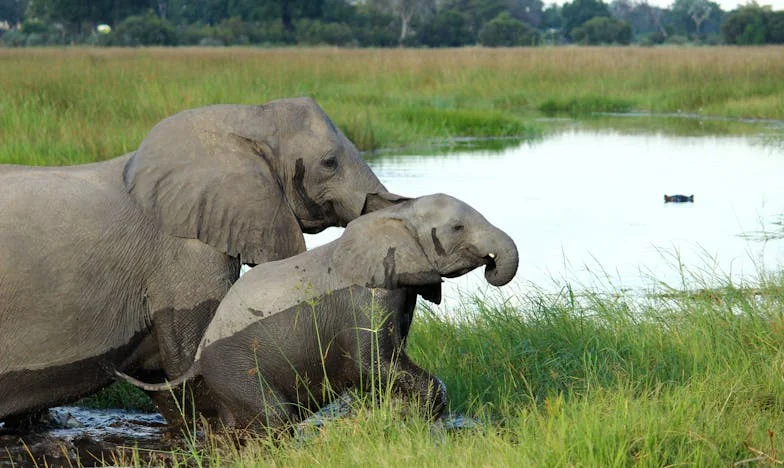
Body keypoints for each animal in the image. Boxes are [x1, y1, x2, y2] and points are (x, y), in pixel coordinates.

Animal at [116, 194, 516, 432]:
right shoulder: (365, 299)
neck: (396, 216)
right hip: (233, 367)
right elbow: (372, 363)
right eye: (457, 228)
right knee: (276, 418)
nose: (491, 267)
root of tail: (199, 356)